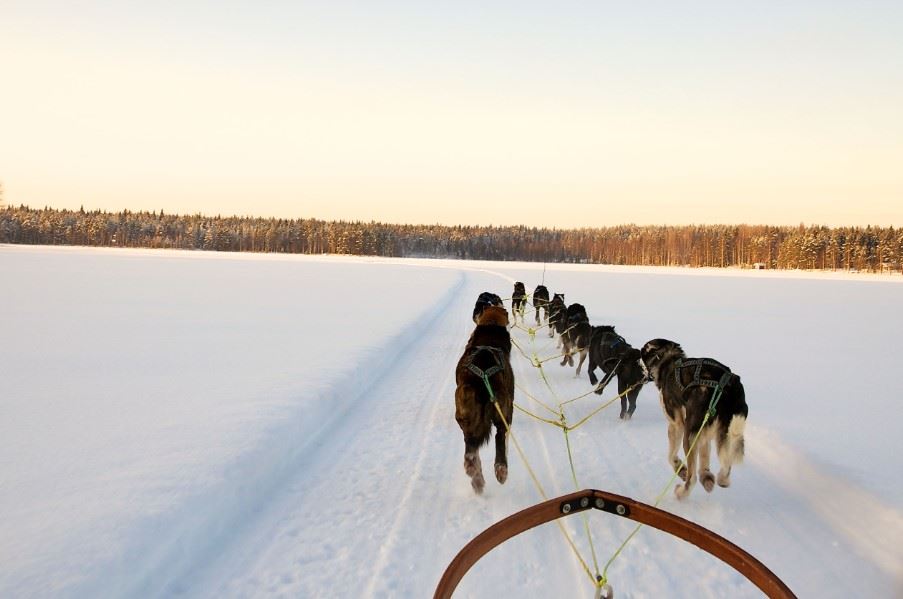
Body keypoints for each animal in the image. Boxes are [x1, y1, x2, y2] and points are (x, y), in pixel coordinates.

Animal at [452, 308, 516, 494]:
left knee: (470, 445)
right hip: (504, 409)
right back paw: (501, 469)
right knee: (500, 436)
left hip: (465, 411)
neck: (491, 326)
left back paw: (474, 474)